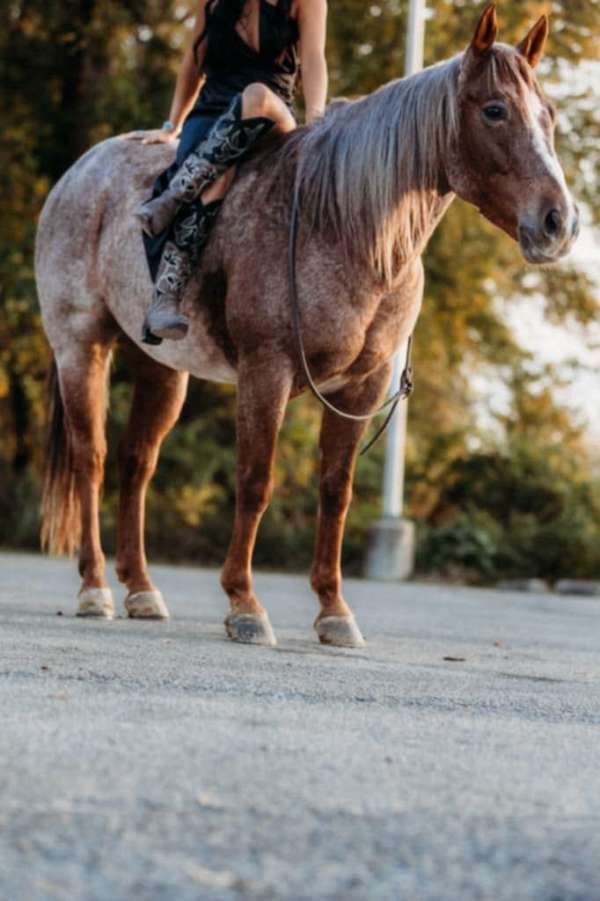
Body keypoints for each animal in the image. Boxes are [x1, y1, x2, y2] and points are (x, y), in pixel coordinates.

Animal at [36, 3, 576, 644]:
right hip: (80, 347)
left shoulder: (362, 386)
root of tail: (79, 174)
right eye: (495, 110)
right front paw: (244, 605)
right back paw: (94, 588)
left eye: (547, 115)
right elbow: (255, 479)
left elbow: (336, 490)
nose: (559, 222)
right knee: (89, 458)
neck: (346, 225)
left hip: (161, 367)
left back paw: (142, 590)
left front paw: (334, 611)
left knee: (137, 462)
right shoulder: (266, 371)